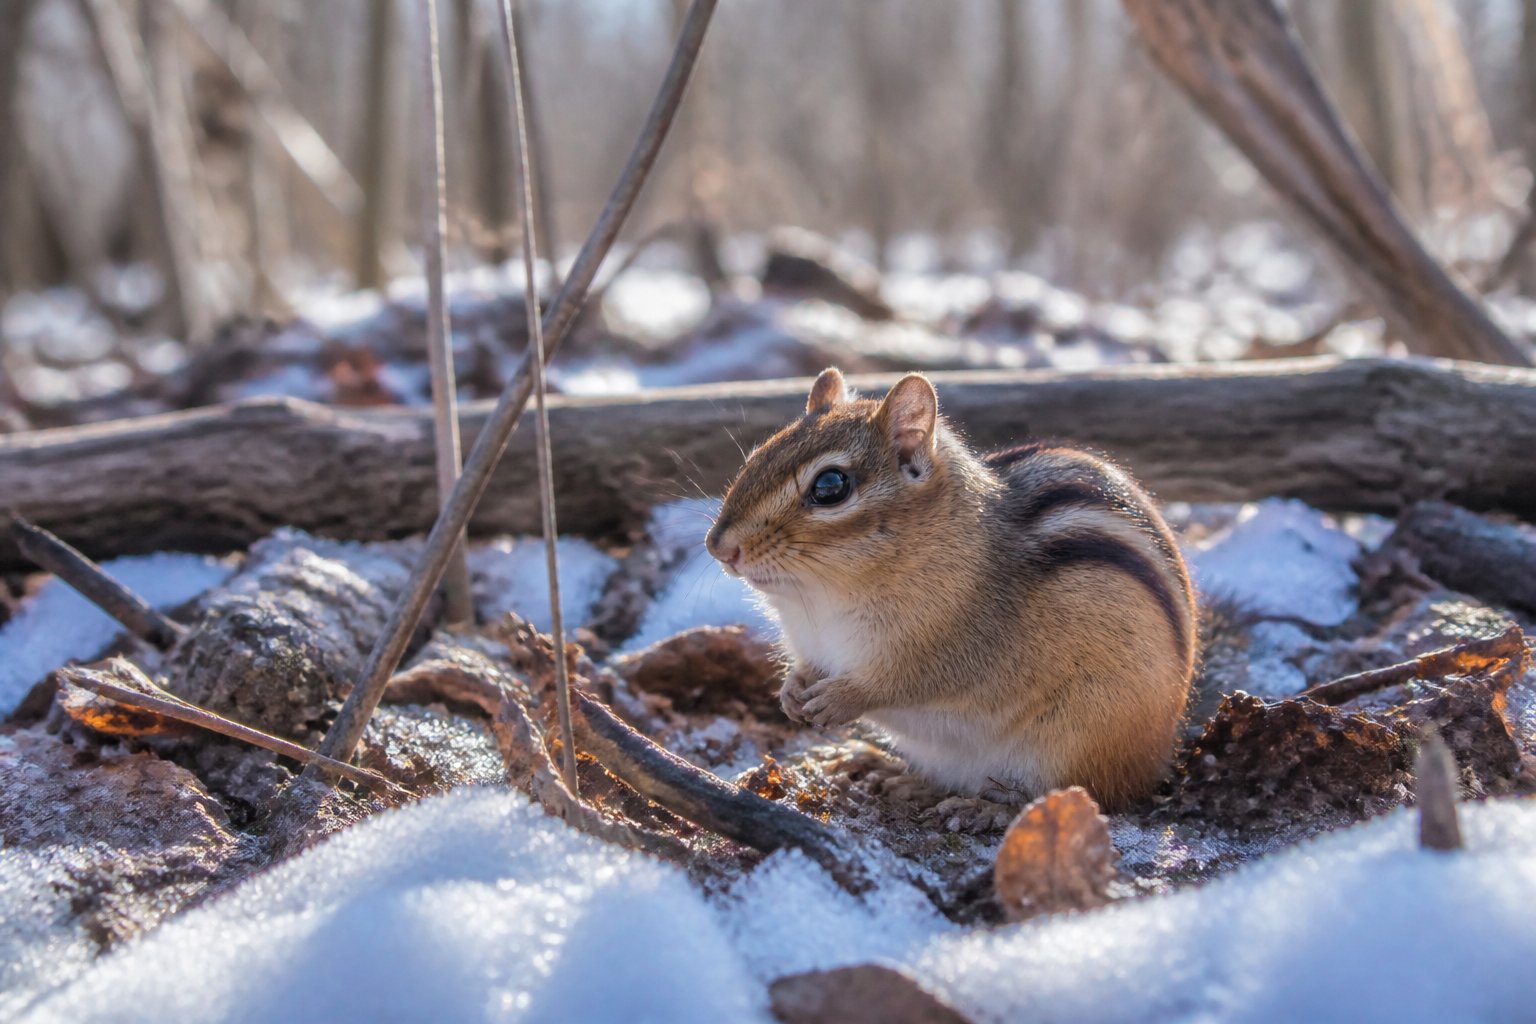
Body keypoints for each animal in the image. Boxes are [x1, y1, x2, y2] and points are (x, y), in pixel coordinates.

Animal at [705, 368, 1196, 810]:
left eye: (830, 486)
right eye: (756, 456)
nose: (719, 547)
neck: (819, 599)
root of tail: (1157, 762)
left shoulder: (959, 647)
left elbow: (901, 682)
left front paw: (841, 698)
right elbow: (807, 667)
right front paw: (792, 689)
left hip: (1074, 739)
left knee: (1069, 794)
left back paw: (984, 808)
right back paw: (884, 769)